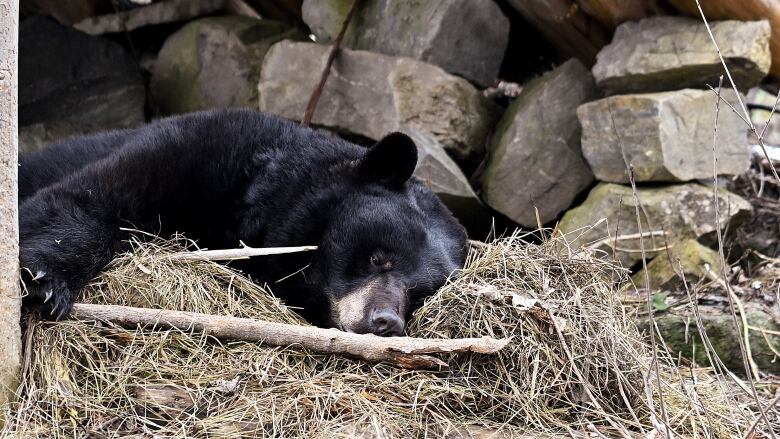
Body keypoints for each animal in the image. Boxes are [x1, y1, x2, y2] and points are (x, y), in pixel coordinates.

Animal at [19, 109, 470, 336]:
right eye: (379, 258)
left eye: (418, 294)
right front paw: (46, 280)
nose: (386, 322)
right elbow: (95, 197)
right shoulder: (200, 146)